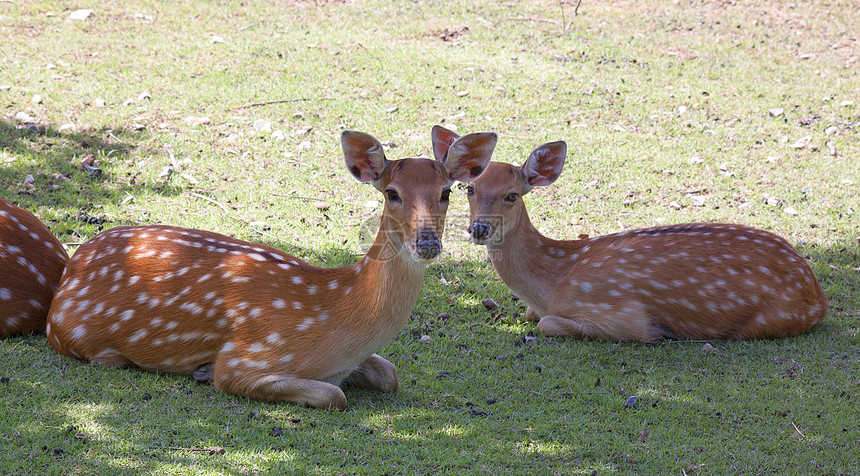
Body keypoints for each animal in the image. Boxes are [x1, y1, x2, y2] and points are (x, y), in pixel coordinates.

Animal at [47, 127, 500, 410]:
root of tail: (71, 268)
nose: (427, 242)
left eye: (446, 191)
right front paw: (202, 372)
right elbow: (334, 396)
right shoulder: (246, 357)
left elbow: (390, 373)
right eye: (392, 192)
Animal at [466, 139, 828, 342]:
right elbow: (533, 316)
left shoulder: (620, 313)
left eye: (512, 194)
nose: (479, 228)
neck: (553, 280)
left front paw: (660, 333)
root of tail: (818, 295)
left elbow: (548, 324)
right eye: (469, 188)